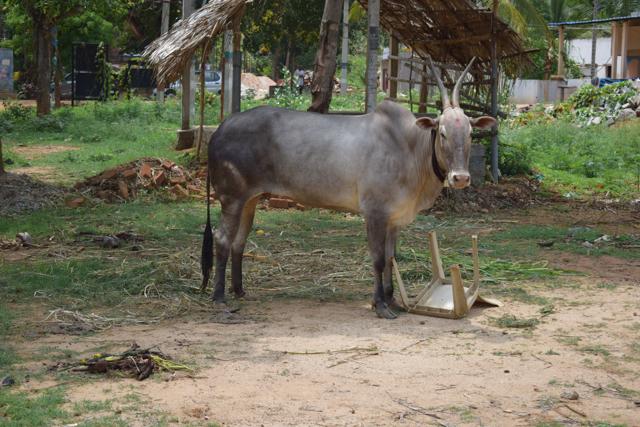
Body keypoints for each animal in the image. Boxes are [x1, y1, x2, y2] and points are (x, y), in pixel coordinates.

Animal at [200, 57, 496, 319]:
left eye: (470, 133)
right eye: (442, 132)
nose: (460, 178)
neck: (410, 148)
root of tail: (219, 129)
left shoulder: (394, 219)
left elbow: (391, 258)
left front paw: (392, 299)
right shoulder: (375, 213)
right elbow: (378, 259)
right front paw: (380, 305)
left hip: (251, 199)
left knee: (239, 241)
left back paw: (239, 290)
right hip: (232, 198)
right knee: (223, 239)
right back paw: (220, 297)